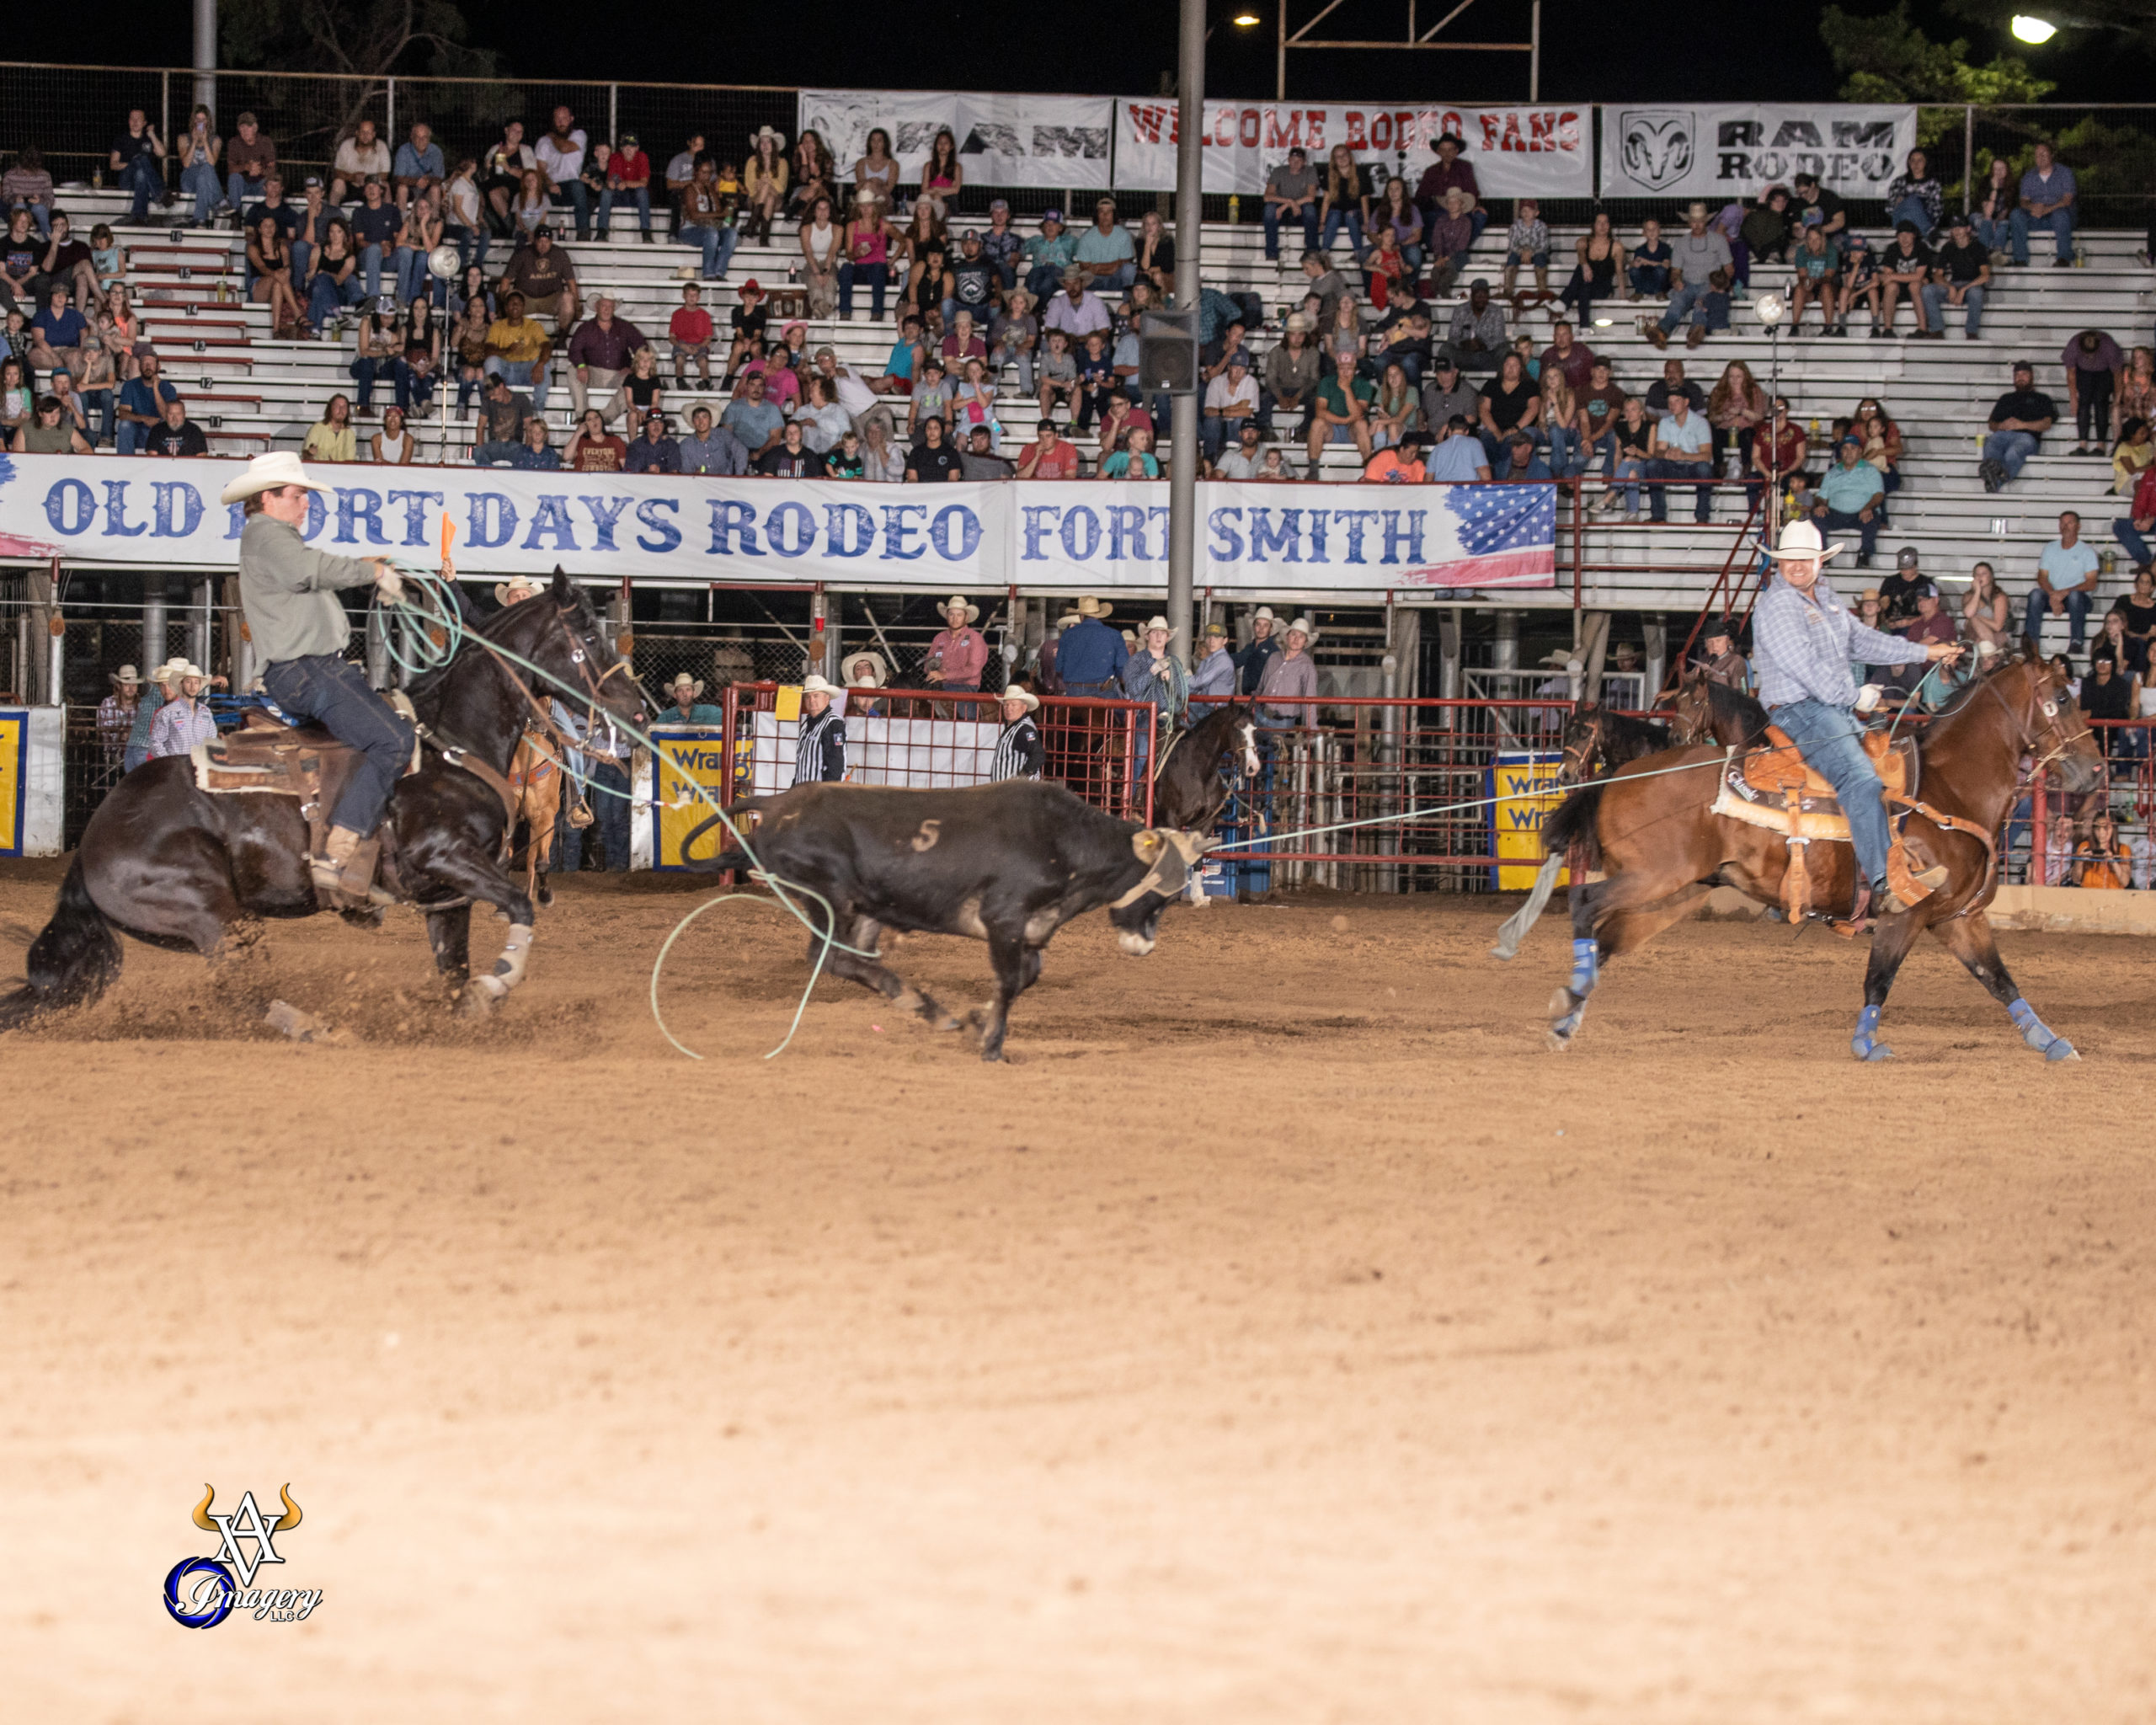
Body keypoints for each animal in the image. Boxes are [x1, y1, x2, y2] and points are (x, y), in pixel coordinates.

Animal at [0, 569, 642, 1026]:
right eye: (589, 635)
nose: (638, 712)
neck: (451, 744)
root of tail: (92, 843)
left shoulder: (447, 897)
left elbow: (454, 970)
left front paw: (465, 1007)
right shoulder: (445, 855)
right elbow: (520, 906)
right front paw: (495, 984)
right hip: (210, 914)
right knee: (246, 994)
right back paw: (316, 1027)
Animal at [1509, 655, 2095, 1065]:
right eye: (2063, 697)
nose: (2094, 769)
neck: (1947, 789)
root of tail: (1619, 777)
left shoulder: (1958, 919)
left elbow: (2001, 981)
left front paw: (2051, 1041)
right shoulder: (1904, 914)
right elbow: (1879, 979)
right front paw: (1867, 1045)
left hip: (1674, 891)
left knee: (1609, 939)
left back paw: (1567, 1016)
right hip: (1653, 876)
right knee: (1585, 903)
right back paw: (1564, 999)